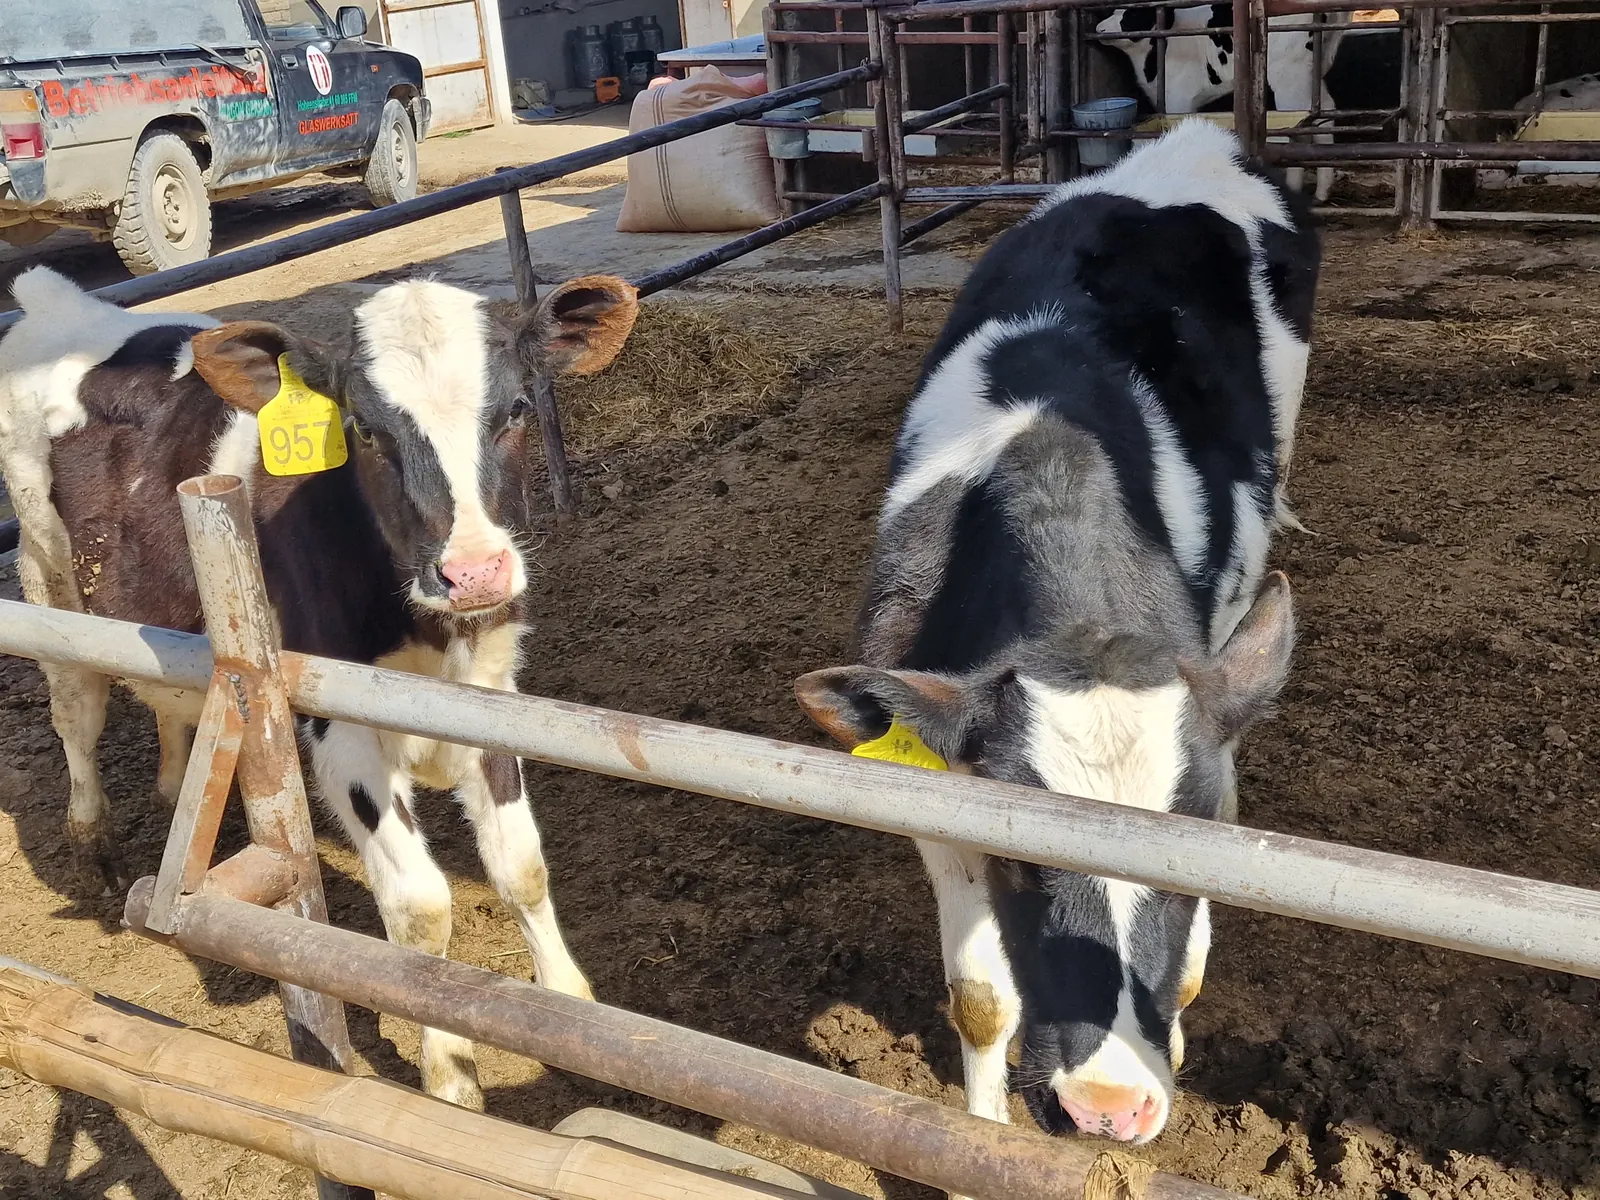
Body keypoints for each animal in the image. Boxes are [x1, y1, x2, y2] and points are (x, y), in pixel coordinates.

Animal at [0, 264, 639, 1109]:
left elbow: (521, 867)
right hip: (49, 580)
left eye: (518, 409)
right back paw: (93, 844)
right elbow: (421, 908)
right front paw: (450, 1076)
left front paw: (572, 1009)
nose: (474, 573)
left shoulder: (493, 696)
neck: (431, 635)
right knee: (77, 711)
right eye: (364, 429)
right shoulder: (343, 736)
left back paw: (174, 784)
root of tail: (60, 300)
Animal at [794, 120, 1318, 1151]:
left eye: (1193, 848)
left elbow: (1189, 967)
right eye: (1019, 860)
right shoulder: (940, 788)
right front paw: (983, 1134)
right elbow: (982, 1000)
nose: (1108, 1107)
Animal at [1094, 4, 1350, 201]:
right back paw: (1322, 192)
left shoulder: (1178, 100)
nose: (1099, 28)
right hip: (1310, 74)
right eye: (1114, 10)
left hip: (1289, 74)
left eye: (1132, 15)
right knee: (1325, 112)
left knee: (1298, 125)